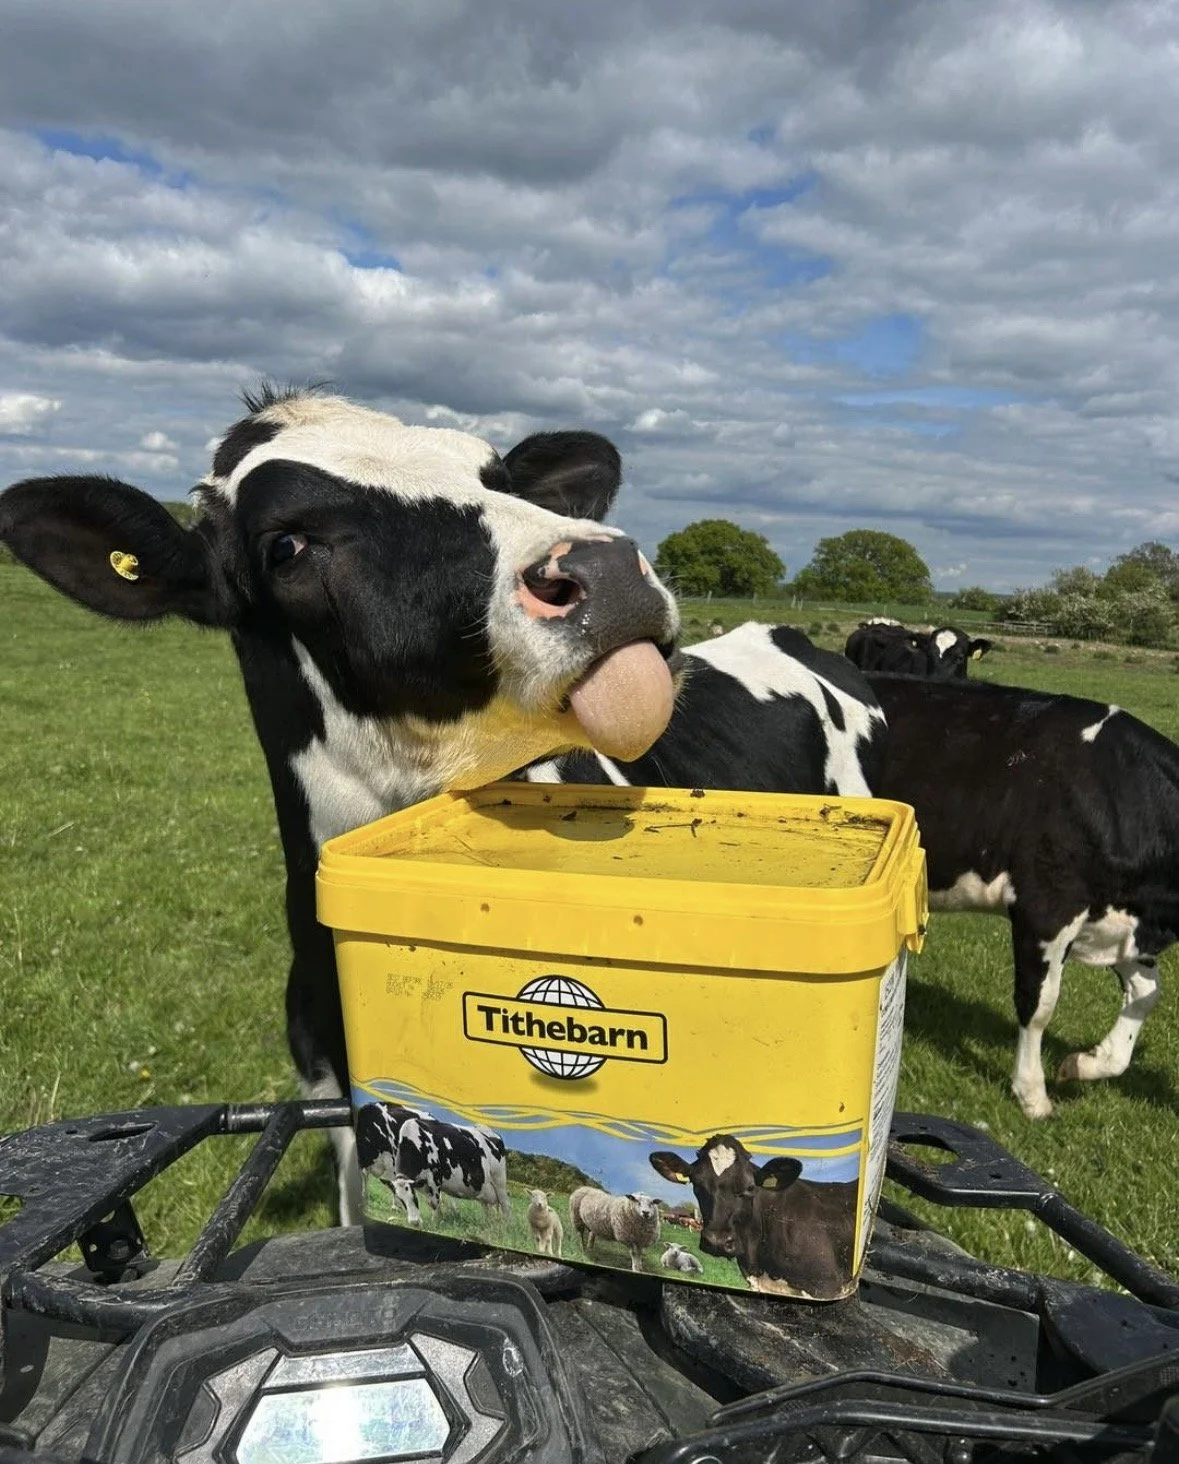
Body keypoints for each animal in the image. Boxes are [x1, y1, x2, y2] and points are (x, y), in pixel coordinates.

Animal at [868, 673, 1179, 1119]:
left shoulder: (1114, 922)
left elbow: (1146, 993)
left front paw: (1085, 1063)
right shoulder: (1046, 908)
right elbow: (1038, 1005)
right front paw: (1032, 1095)